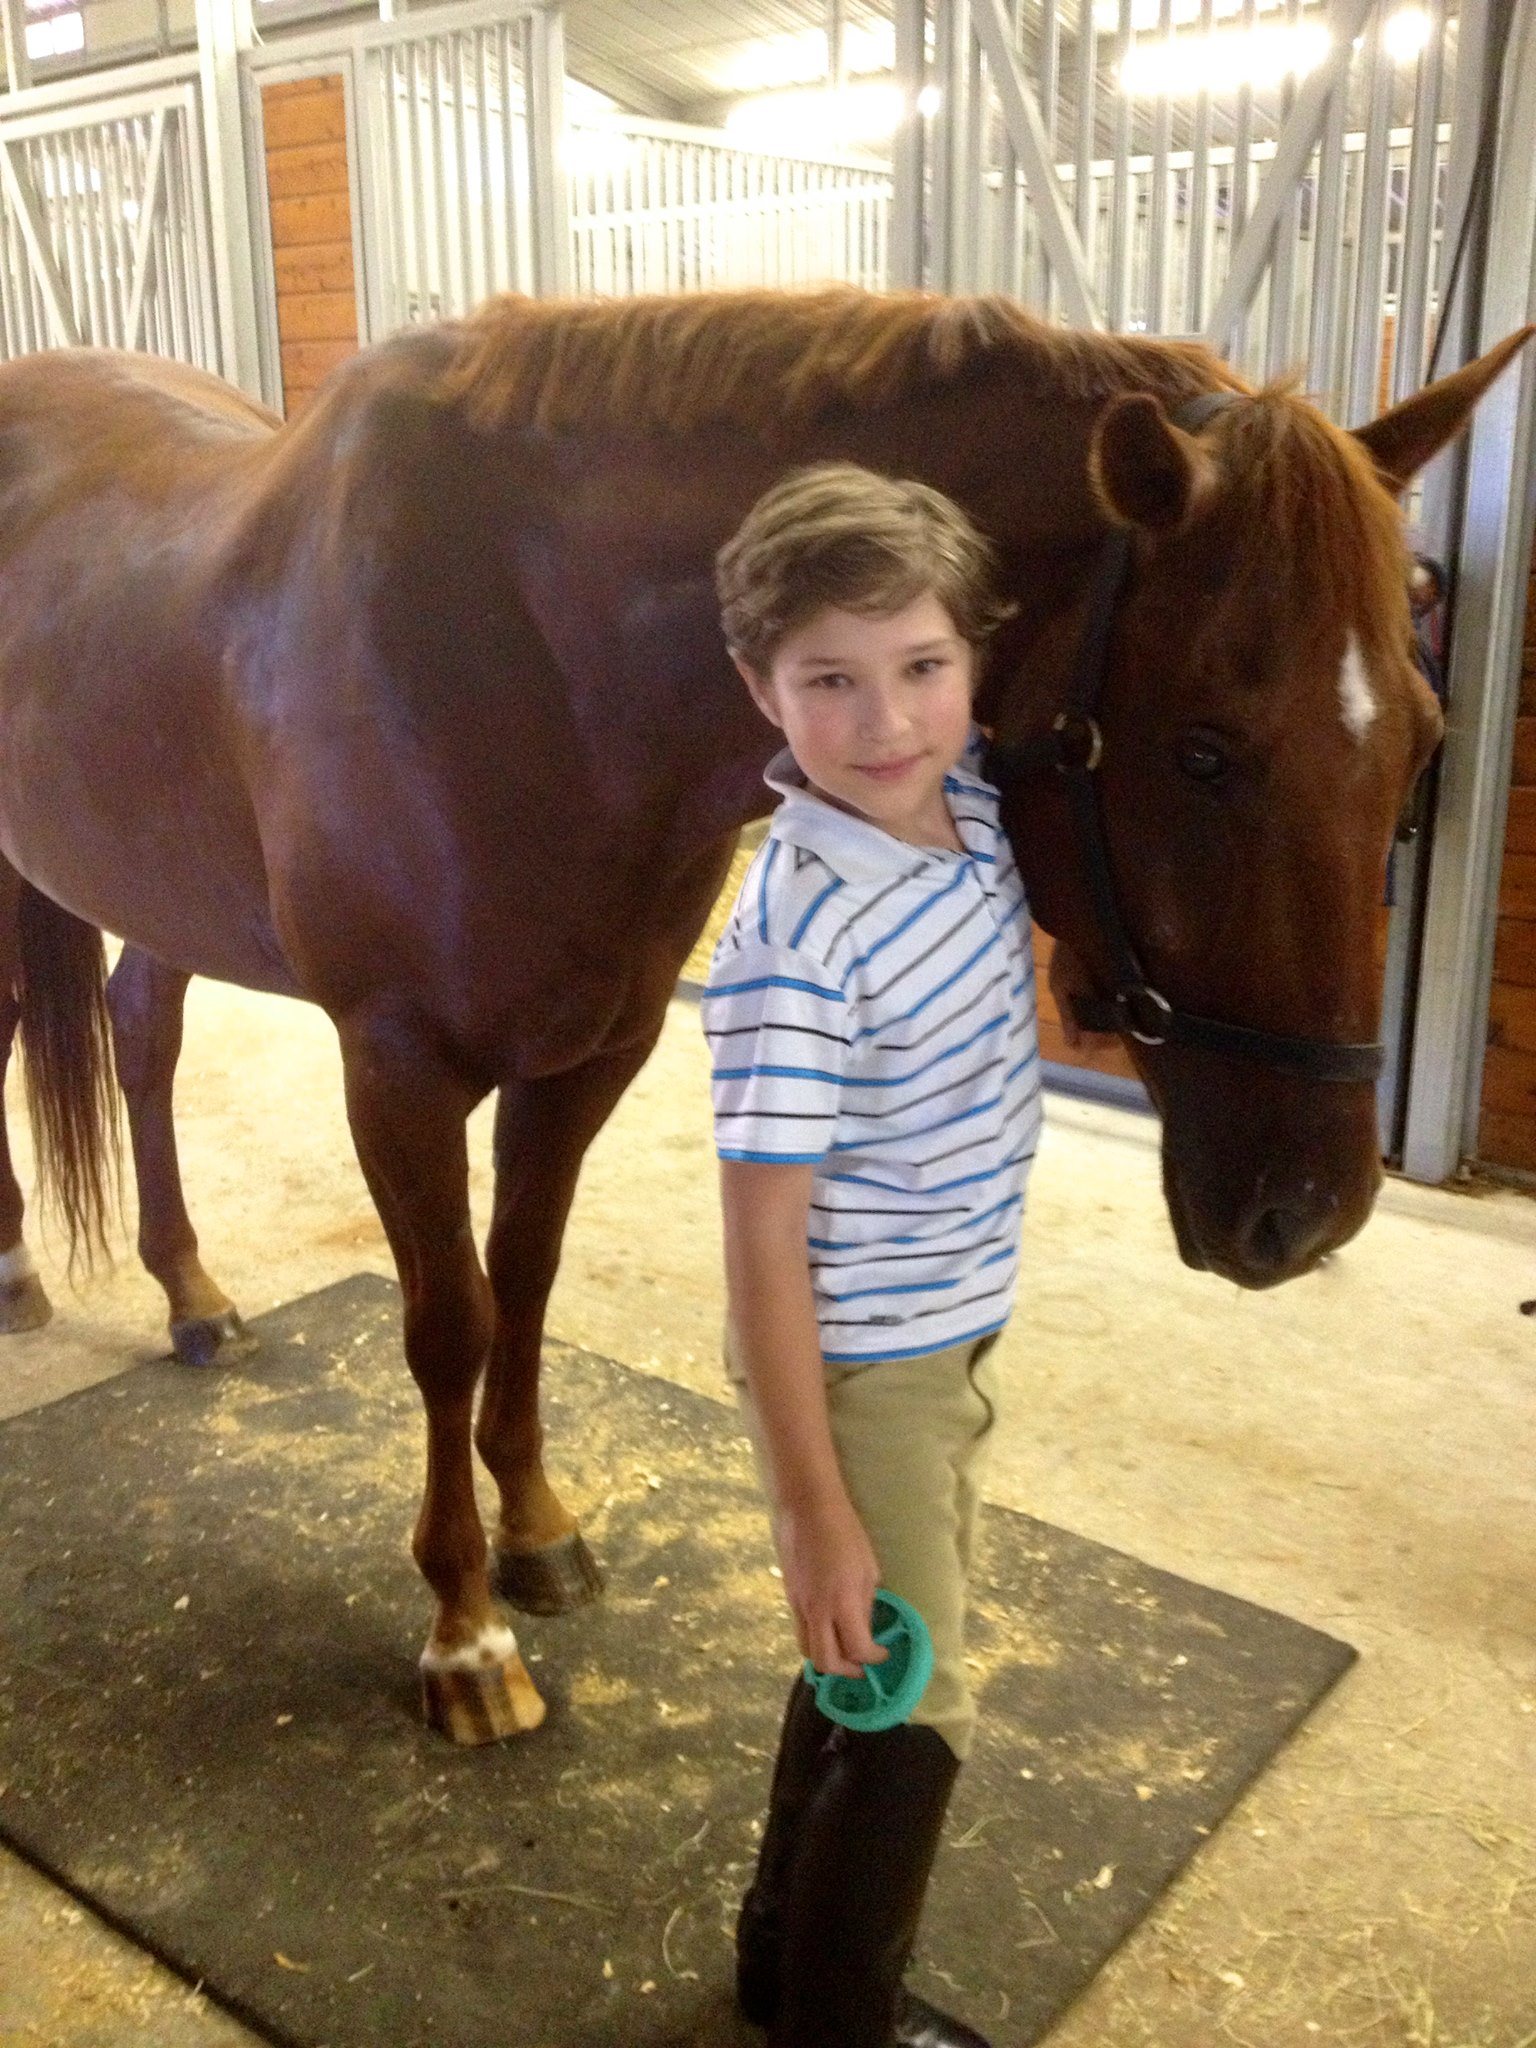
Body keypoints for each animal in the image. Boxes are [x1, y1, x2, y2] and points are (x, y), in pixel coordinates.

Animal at [0, 296, 1531, 1744]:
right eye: (1203, 750)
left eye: (1425, 738)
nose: (1308, 1212)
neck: (520, 648)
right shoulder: (398, 1066)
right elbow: (449, 1324)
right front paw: (467, 1639)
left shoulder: (596, 1050)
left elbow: (526, 1282)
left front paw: (540, 1532)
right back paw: (25, 1269)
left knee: (141, 1034)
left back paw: (194, 1295)